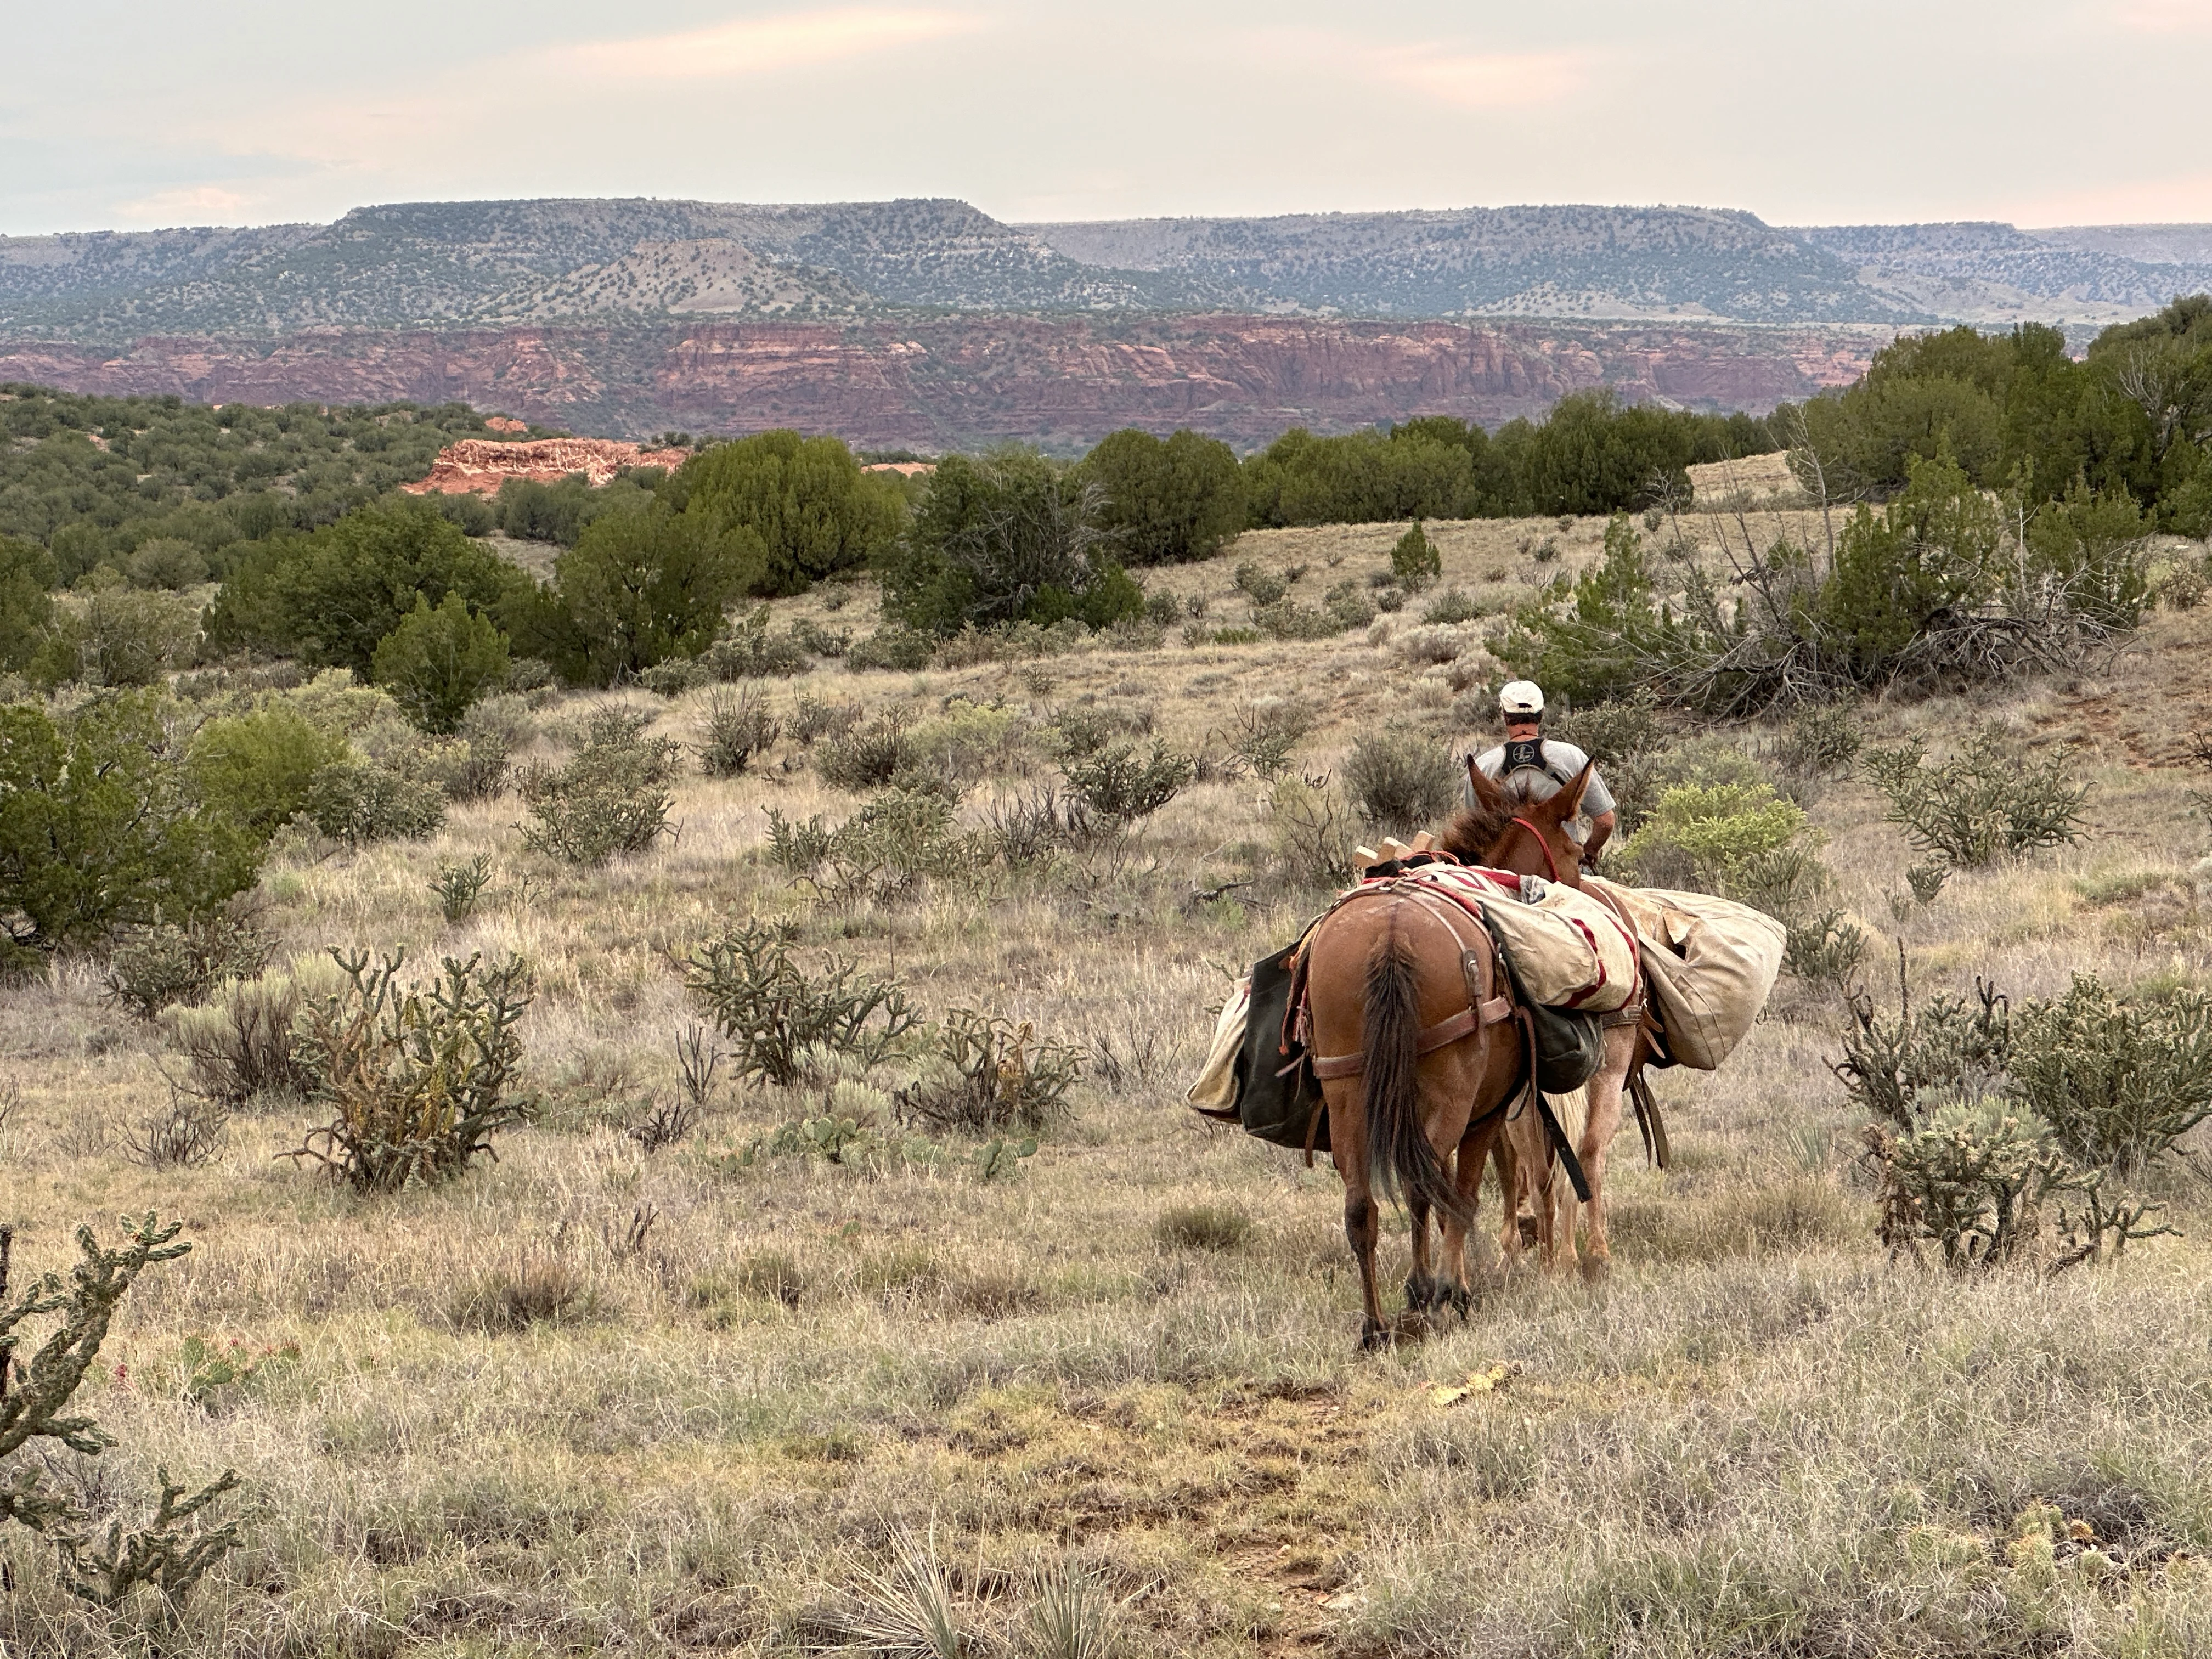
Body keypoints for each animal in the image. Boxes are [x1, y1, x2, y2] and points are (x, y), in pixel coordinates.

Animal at [1291, 765, 1645, 1353]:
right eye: (1575, 850)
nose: (1586, 891)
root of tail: (1390, 931)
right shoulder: (1485, 1114)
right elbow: (1464, 1193)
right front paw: (1454, 1290)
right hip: (1451, 1096)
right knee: (1422, 1187)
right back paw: (1422, 1295)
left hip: (1346, 1093)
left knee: (1361, 1206)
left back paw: (1376, 1326)